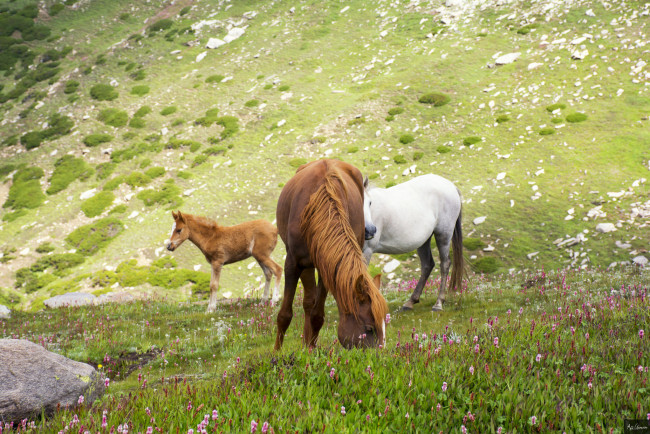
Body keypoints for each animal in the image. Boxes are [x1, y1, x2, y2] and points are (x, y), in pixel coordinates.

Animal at [275, 159, 388, 350]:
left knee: (310, 303)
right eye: (369, 328)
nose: (381, 353)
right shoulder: (292, 263)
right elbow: (284, 315)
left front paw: (310, 349)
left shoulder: (327, 266)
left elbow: (316, 315)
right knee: (307, 301)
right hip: (305, 264)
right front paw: (277, 352)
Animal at [362, 174, 464, 312]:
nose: (371, 230)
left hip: (443, 234)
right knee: (427, 265)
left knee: (445, 264)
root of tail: (451, 186)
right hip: (424, 241)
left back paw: (438, 303)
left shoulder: (367, 250)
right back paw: (411, 302)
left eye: (369, 203)